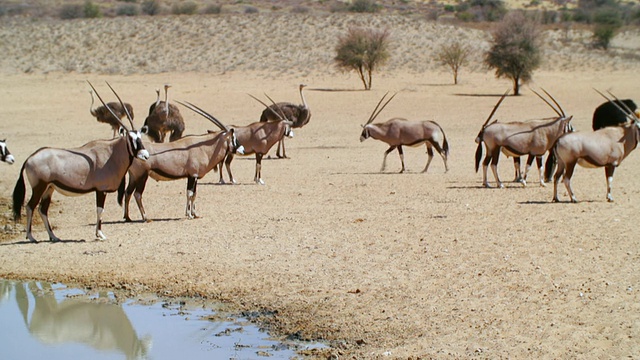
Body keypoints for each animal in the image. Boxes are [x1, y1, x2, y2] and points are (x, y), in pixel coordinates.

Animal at [13, 81, 149, 242]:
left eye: (140, 137)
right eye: (131, 138)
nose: (145, 155)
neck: (112, 152)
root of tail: (30, 158)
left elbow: (100, 210)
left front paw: (98, 233)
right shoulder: (101, 190)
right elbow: (100, 210)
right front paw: (100, 234)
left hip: (49, 188)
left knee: (42, 209)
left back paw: (54, 236)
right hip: (39, 186)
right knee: (30, 206)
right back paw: (31, 237)